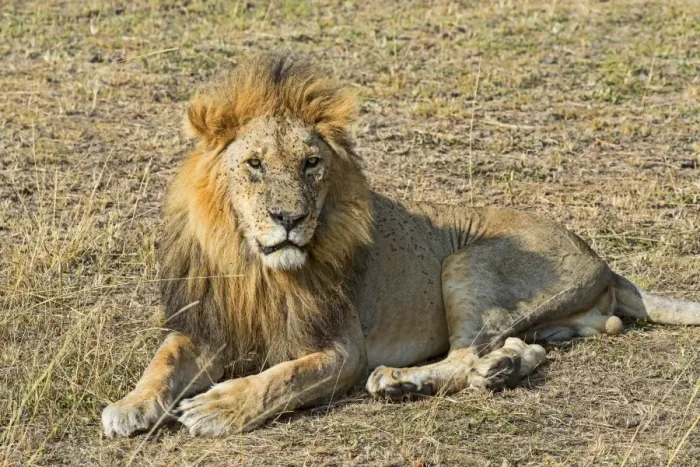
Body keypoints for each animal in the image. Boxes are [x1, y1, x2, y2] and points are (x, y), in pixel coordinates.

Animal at [102, 55, 700, 437]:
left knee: (465, 353)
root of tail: (602, 260)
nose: (290, 219)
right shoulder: (208, 321)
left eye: (311, 164)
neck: (257, 266)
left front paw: (219, 406)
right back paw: (498, 371)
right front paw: (130, 406)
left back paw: (402, 381)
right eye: (254, 164)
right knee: (516, 349)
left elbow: (281, 378)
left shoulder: (342, 349)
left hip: (467, 260)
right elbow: (164, 358)